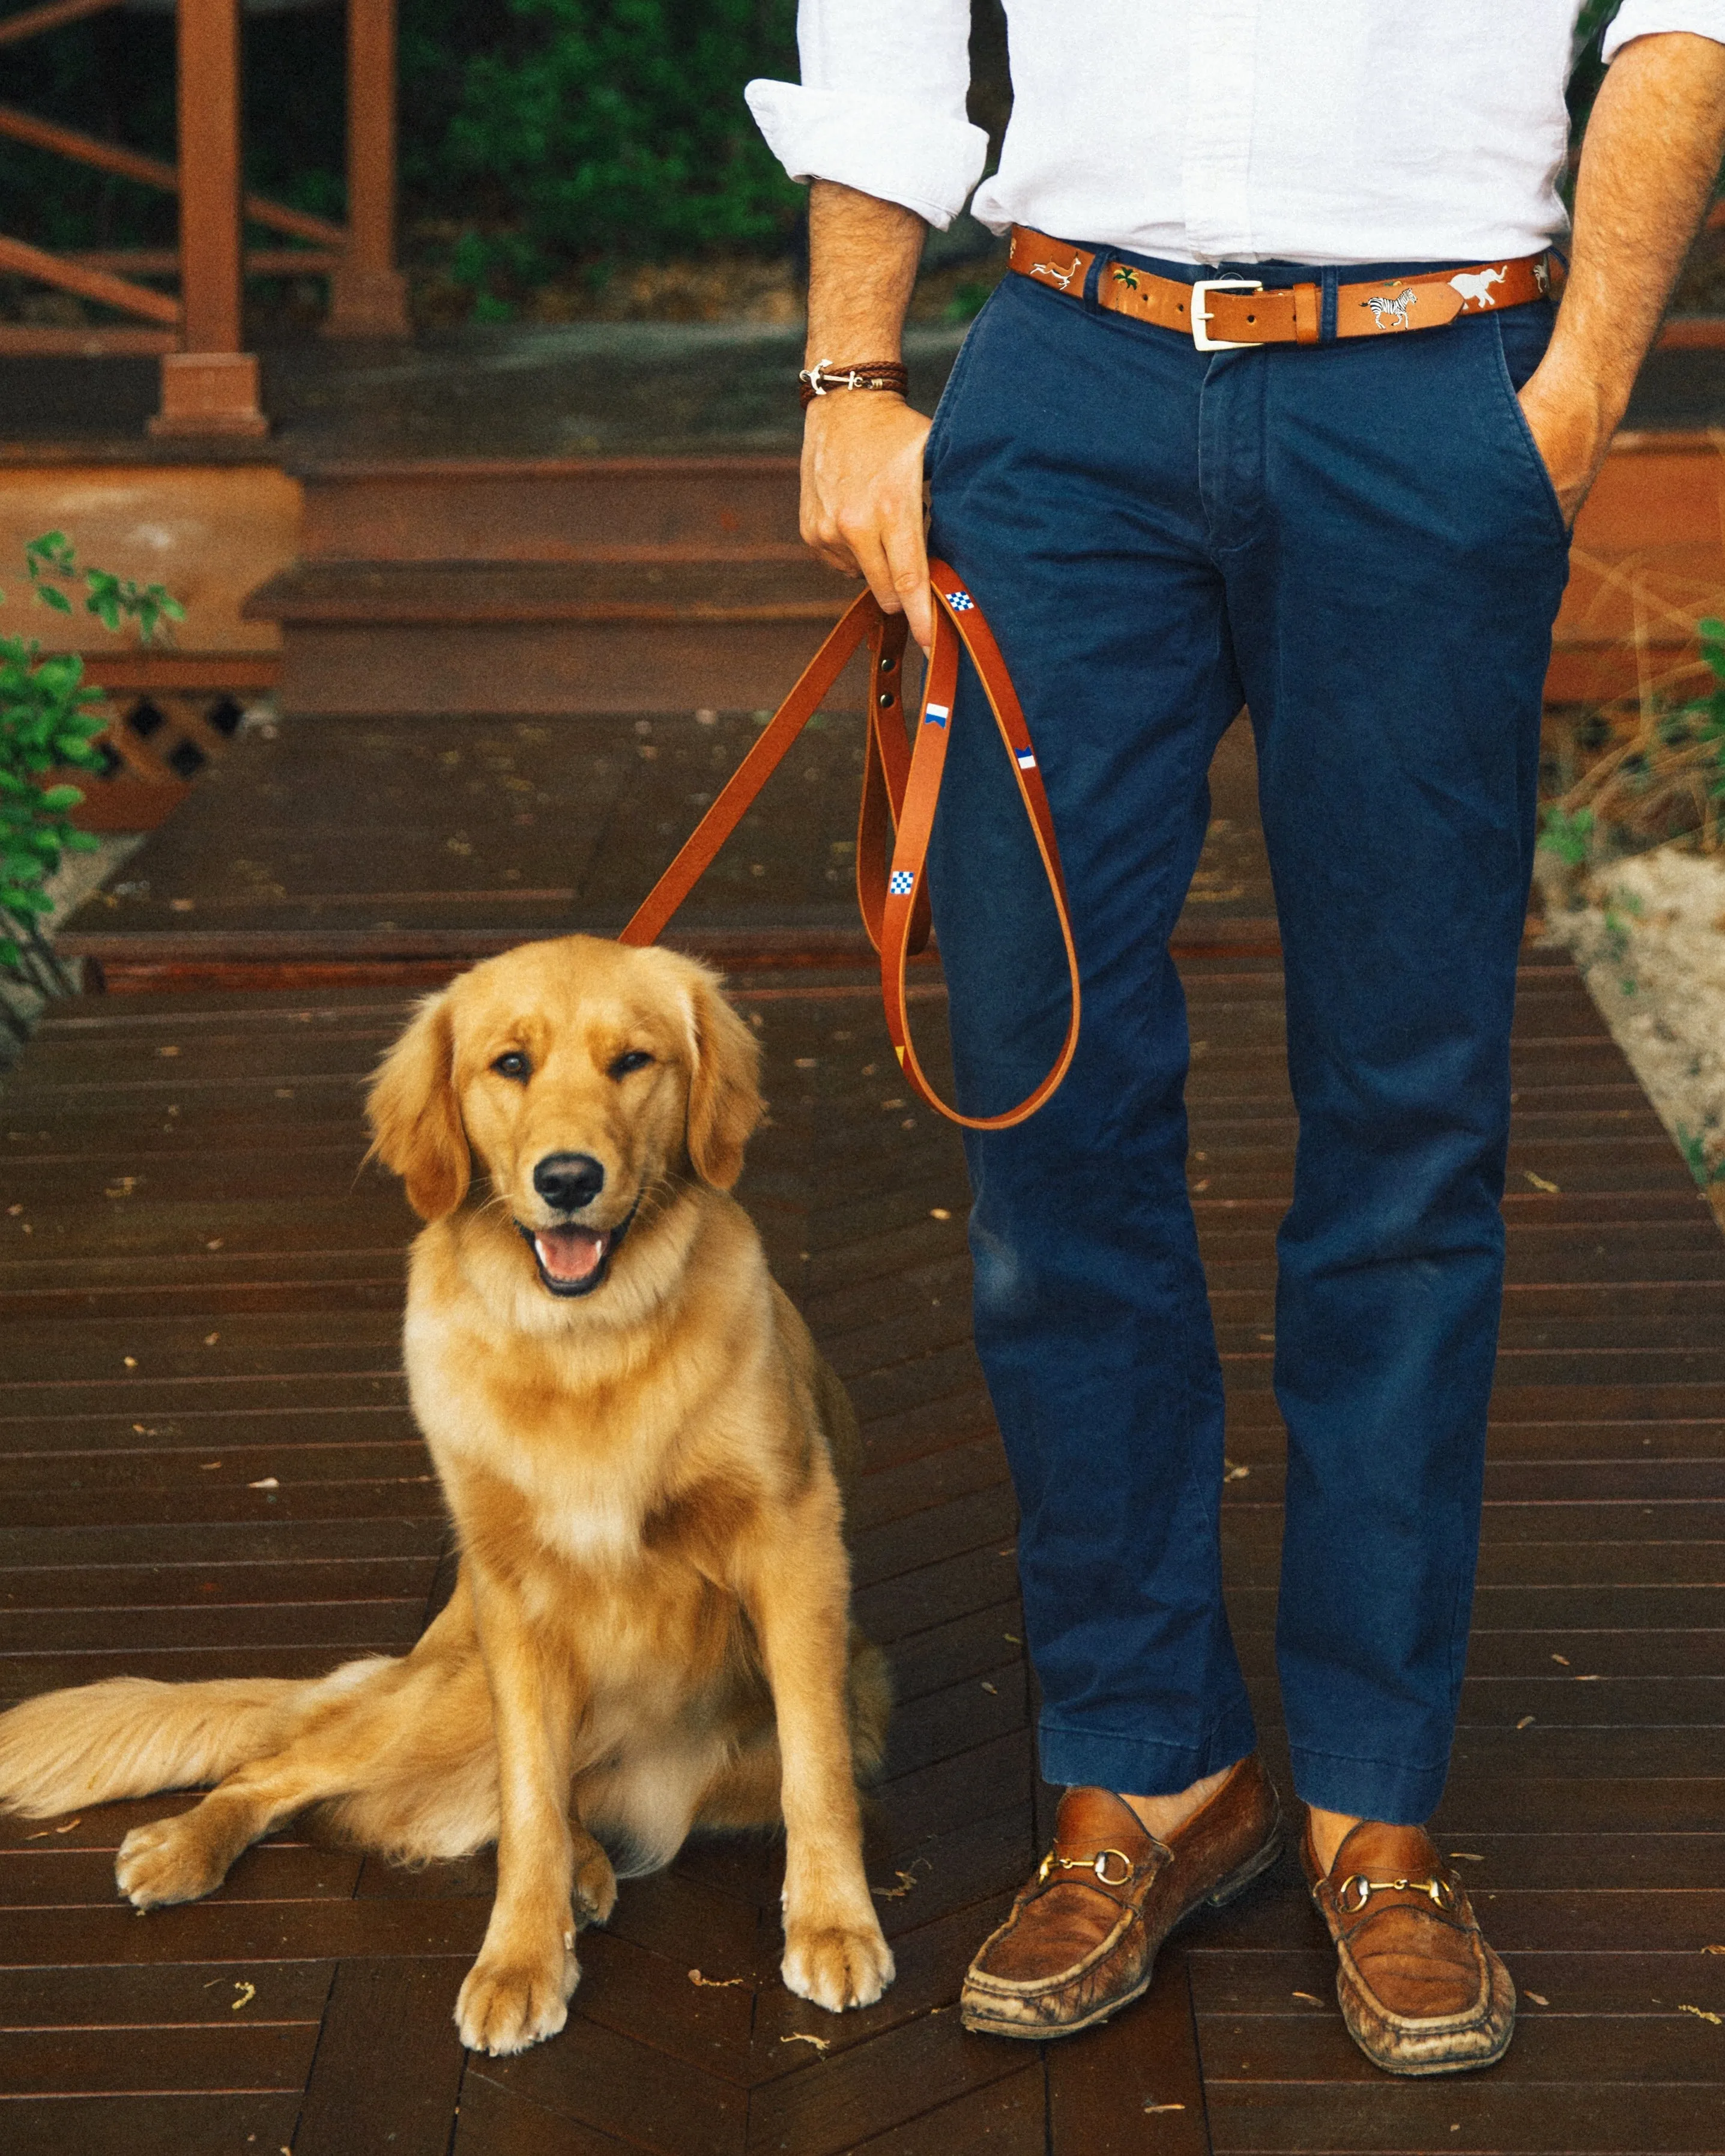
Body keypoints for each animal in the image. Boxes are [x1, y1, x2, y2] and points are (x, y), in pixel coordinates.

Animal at [0, 935, 896, 2044]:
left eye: (632, 1062)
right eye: (510, 1064)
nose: (567, 1178)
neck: (584, 1344)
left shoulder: (793, 1541)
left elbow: (817, 1772)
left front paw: (833, 1924)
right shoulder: (512, 1592)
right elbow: (527, 1802)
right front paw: (519, 1956)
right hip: (451, 1697)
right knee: (293, 1773)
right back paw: (186, 1845)